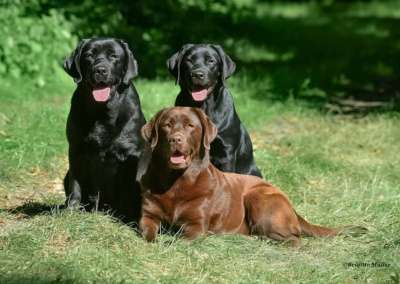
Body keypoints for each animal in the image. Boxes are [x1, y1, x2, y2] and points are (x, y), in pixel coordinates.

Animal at [61, 37, 145, 222]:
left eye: (113, 56)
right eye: (89, 56)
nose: (100, 70)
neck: (102, 112)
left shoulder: (132, 152)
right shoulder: (76, 149)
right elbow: (75, 184)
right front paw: (71, 210)